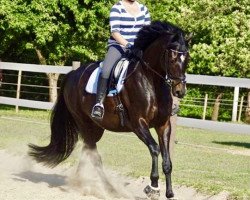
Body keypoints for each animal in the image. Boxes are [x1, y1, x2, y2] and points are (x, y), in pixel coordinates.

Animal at [28, 21, 189, 199]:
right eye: (172, 57)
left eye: (187, 57)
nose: (180, 91)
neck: (150, 81)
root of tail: (72, 74)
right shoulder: (139, 124)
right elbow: (154, 149)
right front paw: (152, 187)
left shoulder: (163, 125)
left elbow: (167, 159)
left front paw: (169, 192)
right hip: (84, 123)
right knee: (94, 156)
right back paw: (109, 188)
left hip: (96, 128)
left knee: (88, 151)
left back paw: (79, 183)